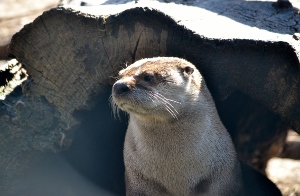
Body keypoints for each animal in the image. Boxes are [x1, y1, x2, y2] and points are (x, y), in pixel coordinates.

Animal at [110, 56, 282, 196]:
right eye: (120, 75)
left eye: (148, 76)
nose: (118, 86)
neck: (177, 173)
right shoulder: (139, 181)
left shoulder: (220, 179)